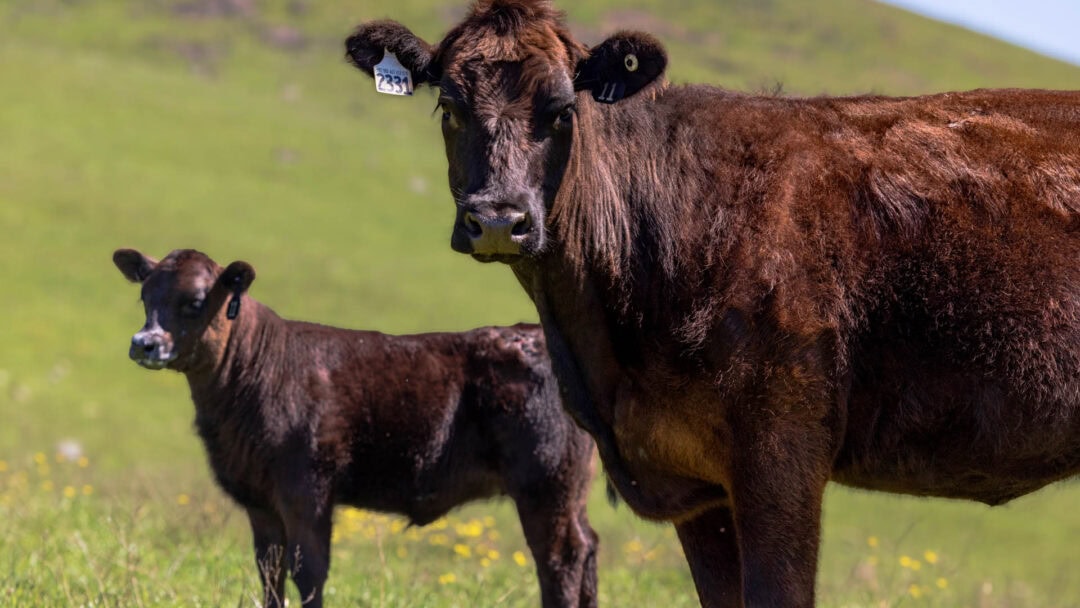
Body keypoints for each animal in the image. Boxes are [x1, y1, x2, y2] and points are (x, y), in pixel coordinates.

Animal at [115, 246, 604, 608]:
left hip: (545, 480)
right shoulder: (260, 500)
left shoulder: (307, 489)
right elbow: (270, 572)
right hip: (570, 488)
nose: (144, 343)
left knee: (560, 558)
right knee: (588, 546)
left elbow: (309, 572)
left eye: (195, 301)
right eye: (144, 297)